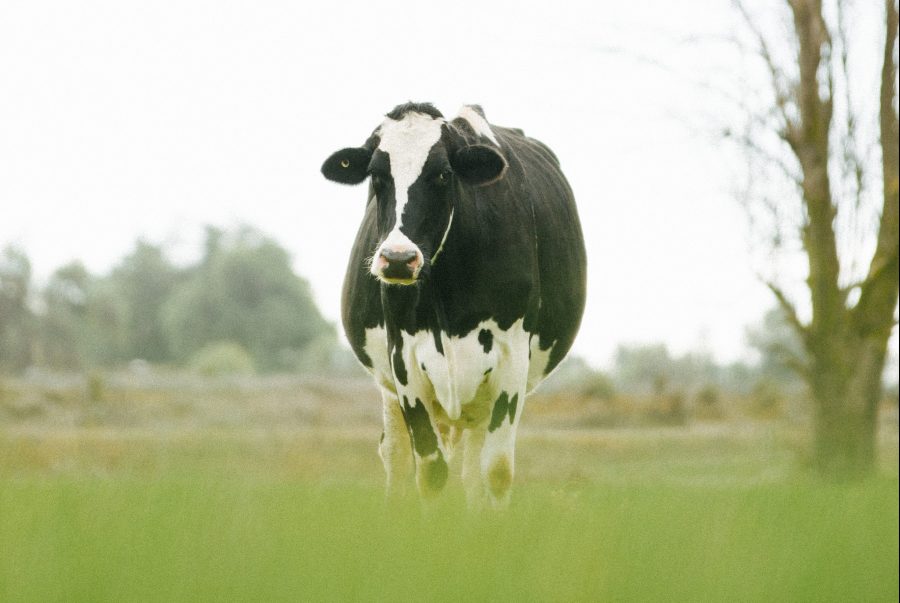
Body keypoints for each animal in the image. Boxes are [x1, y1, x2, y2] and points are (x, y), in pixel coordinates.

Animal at [321, 102, 586, 508]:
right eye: (377, 176)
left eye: (443, 174)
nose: (398, 259)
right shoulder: (404, 361)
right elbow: (430, 471)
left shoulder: (511, 358)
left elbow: (496, 471)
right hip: (392, 389)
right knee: (396, 455)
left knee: (474, 470)